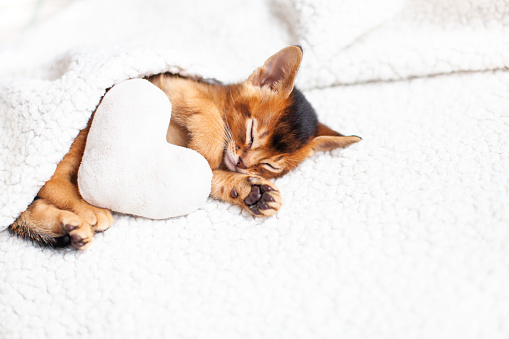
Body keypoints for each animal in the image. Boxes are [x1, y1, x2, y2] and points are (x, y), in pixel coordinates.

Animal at [6, 45, 358, 250]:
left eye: (272, 165)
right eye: (251, 131)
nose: (244, 164)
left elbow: (211, 176)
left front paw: (252, 191)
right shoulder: (173, 85)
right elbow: (210, 124)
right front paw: (210, 148)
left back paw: (69, 228)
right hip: (83, 127)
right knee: (50, 179)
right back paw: (87, 210)